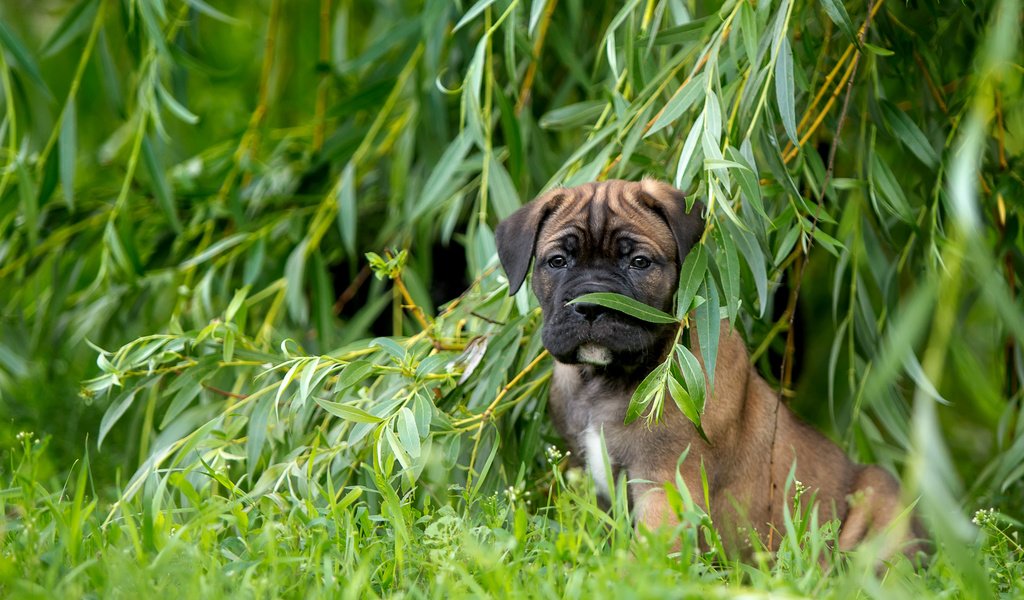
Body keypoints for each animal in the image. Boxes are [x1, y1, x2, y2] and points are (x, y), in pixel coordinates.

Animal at [493, 177, 921, 556]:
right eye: (557, 262)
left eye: (639, 262)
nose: (591, 305)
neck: (606, 380)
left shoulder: (664, 483)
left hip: (879, 493)